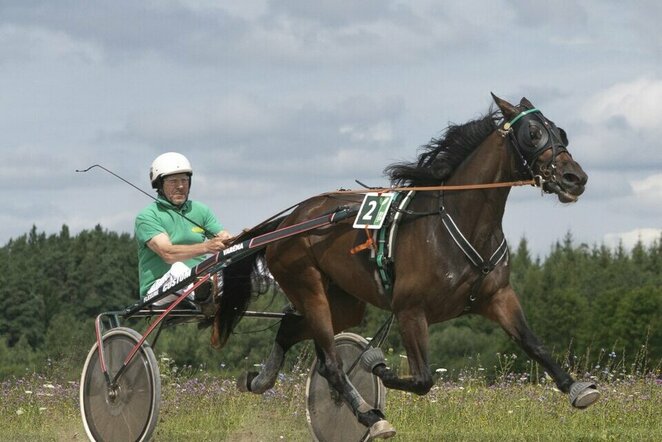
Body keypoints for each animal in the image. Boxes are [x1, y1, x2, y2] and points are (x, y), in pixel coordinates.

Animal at [217, 93, 596, 438]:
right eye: (532, 133)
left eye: (560, 133)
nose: (574, 178)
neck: (455, 220)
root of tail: (288, 221)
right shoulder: (409, 309)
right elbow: (422, 379)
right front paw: (375, 365)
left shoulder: (498, 296)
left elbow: (535, 344)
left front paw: (577, 388)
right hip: (308, 287)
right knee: (334, 365)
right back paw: (370, 417)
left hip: (343, 302)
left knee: (293, 333)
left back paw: (259, 379)